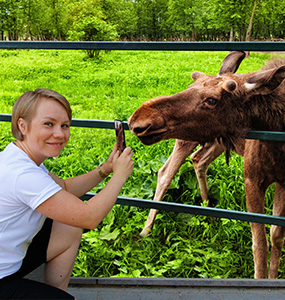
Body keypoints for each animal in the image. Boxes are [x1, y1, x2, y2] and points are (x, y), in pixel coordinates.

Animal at [129, 51, 284, 278]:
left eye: (212, 100)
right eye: (189, 88)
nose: (138, 119)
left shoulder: (283, 182)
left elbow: (276, 235)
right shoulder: (252, 179)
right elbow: (259, 246)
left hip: (215, 140)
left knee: (198, 160)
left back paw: (207, 206)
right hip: (187, 139)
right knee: (165, 172)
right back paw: (146, 230)